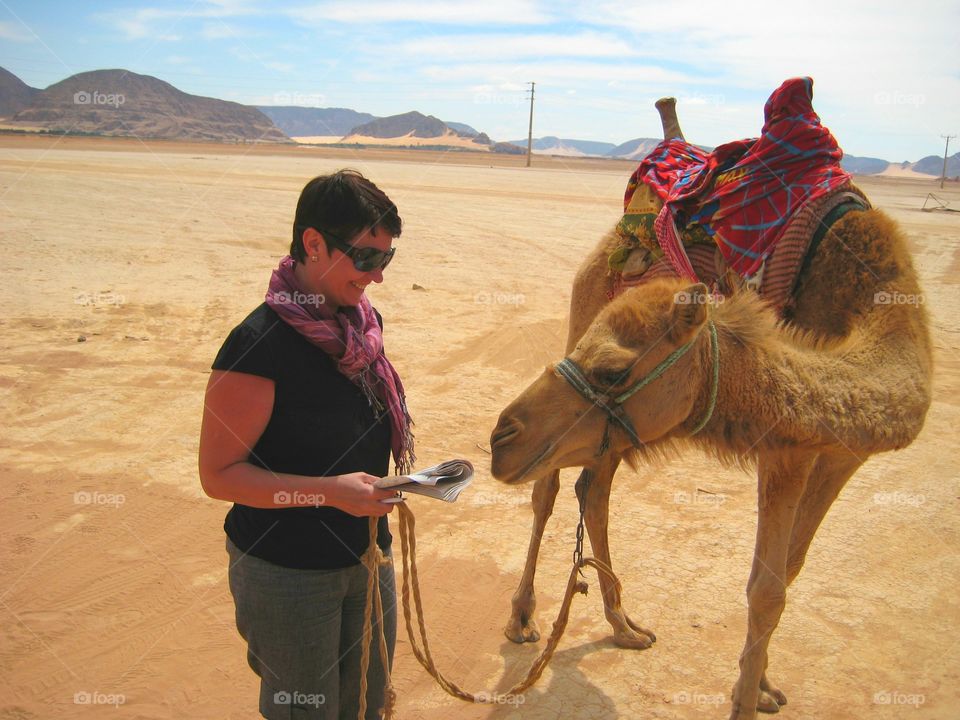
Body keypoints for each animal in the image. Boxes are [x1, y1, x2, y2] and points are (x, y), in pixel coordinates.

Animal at [489, 98, 933, 719]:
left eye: (614, 372)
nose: (501, 437)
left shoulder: (839, 451)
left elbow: (787, 570)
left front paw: (763, 685)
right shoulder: (786, 445)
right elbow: (766, 589)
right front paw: (746, 697)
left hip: (612, 429)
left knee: (592, 493)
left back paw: (624, 625)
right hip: (584, 314)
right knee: (549, 489)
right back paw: (524, 617)